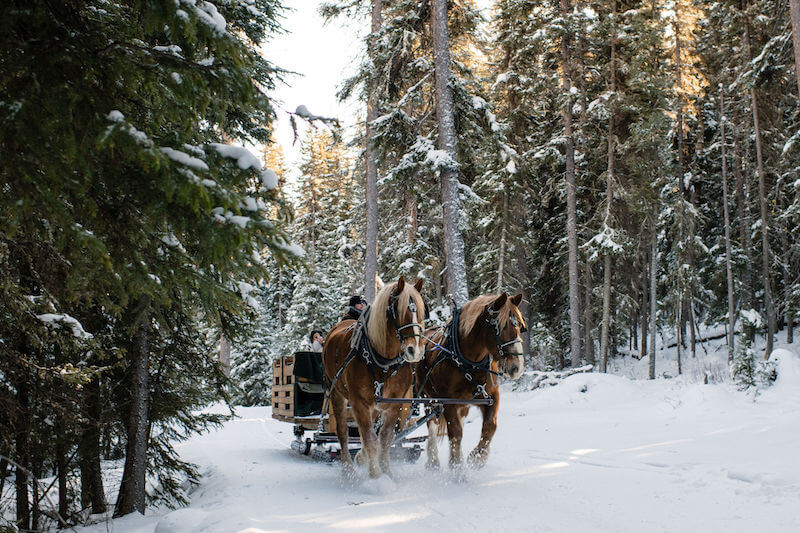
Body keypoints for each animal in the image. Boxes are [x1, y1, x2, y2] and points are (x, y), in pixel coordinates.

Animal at [324, 276, 428, 476]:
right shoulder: (358, 402)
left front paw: (386, 472)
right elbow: (369, 438)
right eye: (398, 310)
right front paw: (376, 475)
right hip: (336, 393)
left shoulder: (394, 403)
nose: (415, 351)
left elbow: (385, 438)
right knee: (342, 431)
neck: (383, 362)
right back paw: (348, 468)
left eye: (421, 310)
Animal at [416, 290, 528, 470]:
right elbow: (455, 432)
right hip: (428, 397)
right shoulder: (447, 400)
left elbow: (490, 426)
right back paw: (433, 462)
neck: (470, 363)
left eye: (519, 326)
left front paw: (477, 458)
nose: (517, 366)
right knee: (432, 425)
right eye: (500, 327)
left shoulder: (491, 396)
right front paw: (457, 468)